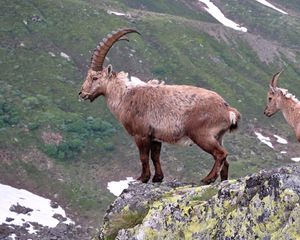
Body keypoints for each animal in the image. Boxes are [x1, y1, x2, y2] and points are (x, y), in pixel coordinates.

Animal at [78, 28, 240, 184]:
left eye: (95, 77)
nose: (82, 93)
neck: (125, 96)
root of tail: (227, 109)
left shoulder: (141, 135)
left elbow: (144, 157)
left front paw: (142, 178)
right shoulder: (156, 137)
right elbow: (155, 157)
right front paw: (158, 178)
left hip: (202, 135)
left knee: (221, 154)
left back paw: (208, 179)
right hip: (218, 136)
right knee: (226, 161)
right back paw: (222, 180)